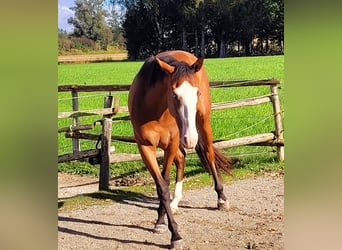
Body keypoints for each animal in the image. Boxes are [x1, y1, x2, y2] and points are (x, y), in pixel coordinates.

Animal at [128, 49, 235, 249]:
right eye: (174, 94)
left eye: (196, 93)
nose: (190, 139)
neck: (156, 111)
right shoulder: (145, 148)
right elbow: (162, 187)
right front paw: (164, 224)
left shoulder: (171, 144)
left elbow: (165, 179)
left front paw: (173, 232)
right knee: (182, 158)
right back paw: (175, 201)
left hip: (201, 124)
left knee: (208, 154)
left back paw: (221, 199)